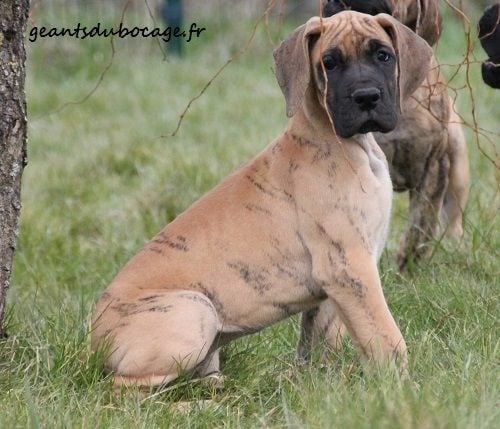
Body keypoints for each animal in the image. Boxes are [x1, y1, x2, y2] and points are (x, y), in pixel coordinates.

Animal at [91, 12, 433, 388]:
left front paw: (319, 383)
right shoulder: (349, 267)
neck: (344, 143)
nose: (367, 97)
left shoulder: (338, 281)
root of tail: (93, 338)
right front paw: (404, 388)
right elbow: (386, 336)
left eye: (383, 56)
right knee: (124, 388)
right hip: (195, 309)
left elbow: (320, 339)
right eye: (329, 63)